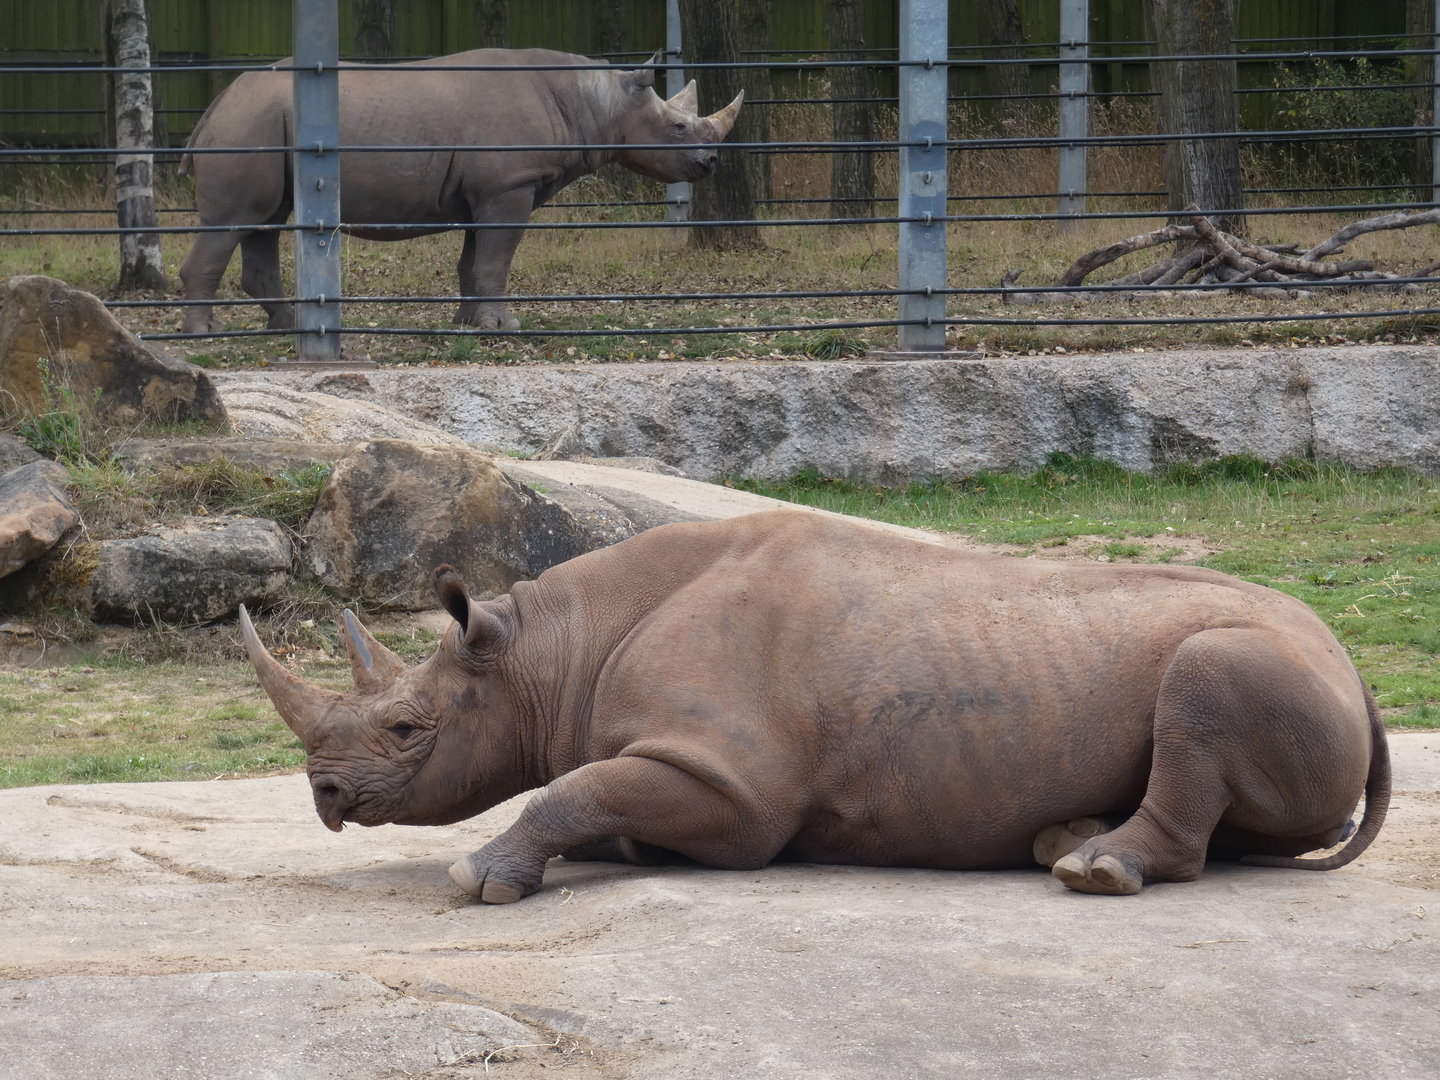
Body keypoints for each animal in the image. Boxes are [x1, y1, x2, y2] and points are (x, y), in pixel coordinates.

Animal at [178, 48, 742, 334]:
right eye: (677, 128)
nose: (711, 162)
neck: (597, 101)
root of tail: (217, 103)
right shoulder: (509, 184)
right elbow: (496, 258)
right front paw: (504, 328)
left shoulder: (487, 190)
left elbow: (474, 260)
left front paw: (469, 323)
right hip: (248, 127)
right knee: (233, 222)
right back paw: (203, 336)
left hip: (260, 124)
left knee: (263, 221)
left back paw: (288, 326)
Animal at [240, 510, 1388, 903]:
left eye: (407, 731)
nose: (326, 794)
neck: (548, 651)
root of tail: (1359, 672)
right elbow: (595, 793)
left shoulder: (738, 788)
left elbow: (575, 790)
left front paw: (480, 878)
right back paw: (1064, 839)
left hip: (1267, 657)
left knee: (1206, 677)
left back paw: (1091, 871)